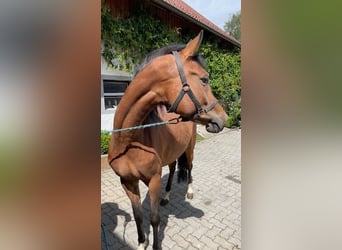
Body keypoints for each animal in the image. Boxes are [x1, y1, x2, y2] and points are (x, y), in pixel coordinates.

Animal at [108, 31, 228, 250]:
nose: (223, 119)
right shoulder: (127, 182)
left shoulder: (154, 180)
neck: (130, 141)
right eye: (204, 79)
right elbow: (138, 216)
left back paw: (189, 192)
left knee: (190, 167)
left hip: (189, 150)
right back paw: (166, 196)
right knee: (172, 170)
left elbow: (155, 218)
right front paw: (141, 243)